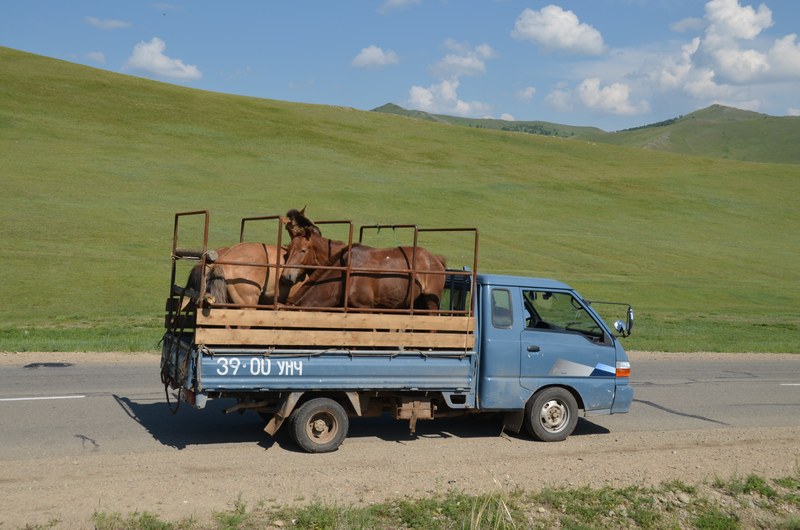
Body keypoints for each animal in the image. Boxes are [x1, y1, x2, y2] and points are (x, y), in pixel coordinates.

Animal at [280, 208, 444, 310]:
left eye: (303, 250)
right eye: (287, 250)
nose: (285, 277)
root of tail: (435, 258)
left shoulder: (365, 307)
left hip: (430, 303)